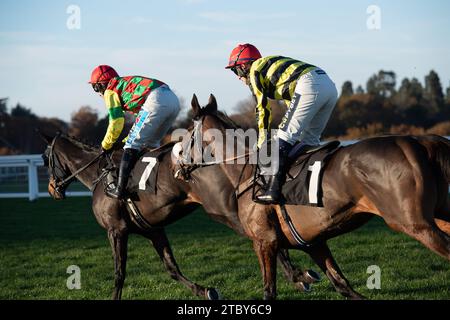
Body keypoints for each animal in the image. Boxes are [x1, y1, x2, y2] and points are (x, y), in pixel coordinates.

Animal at [39, 131, 320, 298]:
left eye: (44, 158)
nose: (52, 189)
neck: (101, 177)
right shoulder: (153, 230)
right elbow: (172, 268)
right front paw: (204, 290)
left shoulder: (115, 230)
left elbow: (119, 273)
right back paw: (301, 272)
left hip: (224, 210)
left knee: (267, 239)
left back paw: (298, 274)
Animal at [177, 94, 450, 298]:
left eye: (188, 132)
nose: (178, 164)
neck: (248, 170)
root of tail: (418, 142)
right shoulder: (313, 242)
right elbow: (342, 285)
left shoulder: (264, 241)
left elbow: (269, 290)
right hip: (439, 215)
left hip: (413, 223)